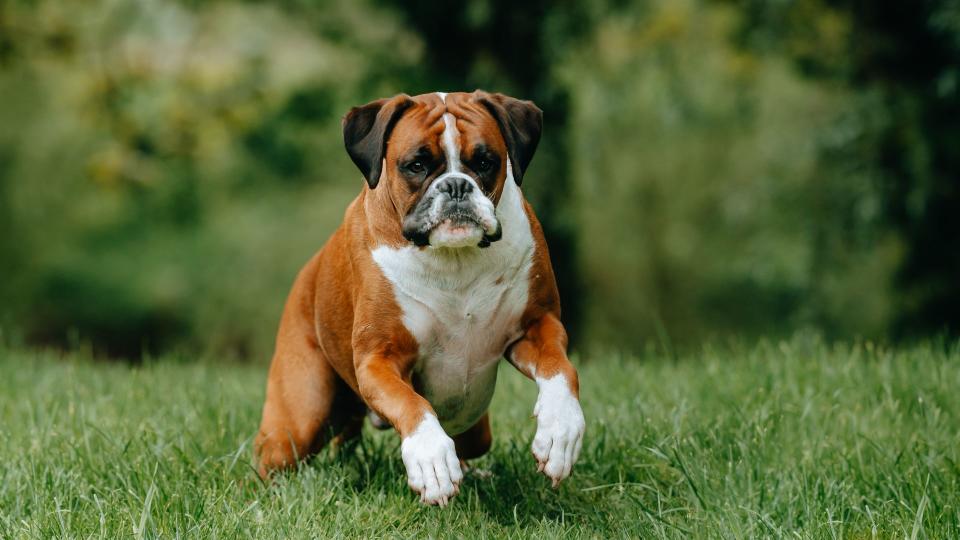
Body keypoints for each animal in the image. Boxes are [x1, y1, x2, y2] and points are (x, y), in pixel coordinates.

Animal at [253, 89, 584, 506]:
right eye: (416, 165)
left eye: (485, 162)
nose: (456, 186)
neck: (455, 261)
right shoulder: (379, 359)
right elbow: (413, 404)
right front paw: (431, 460)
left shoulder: (539, 326)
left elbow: (561, 370)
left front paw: (560, 431)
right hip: (299, 420)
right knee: (273, 457)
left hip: (475, 429)